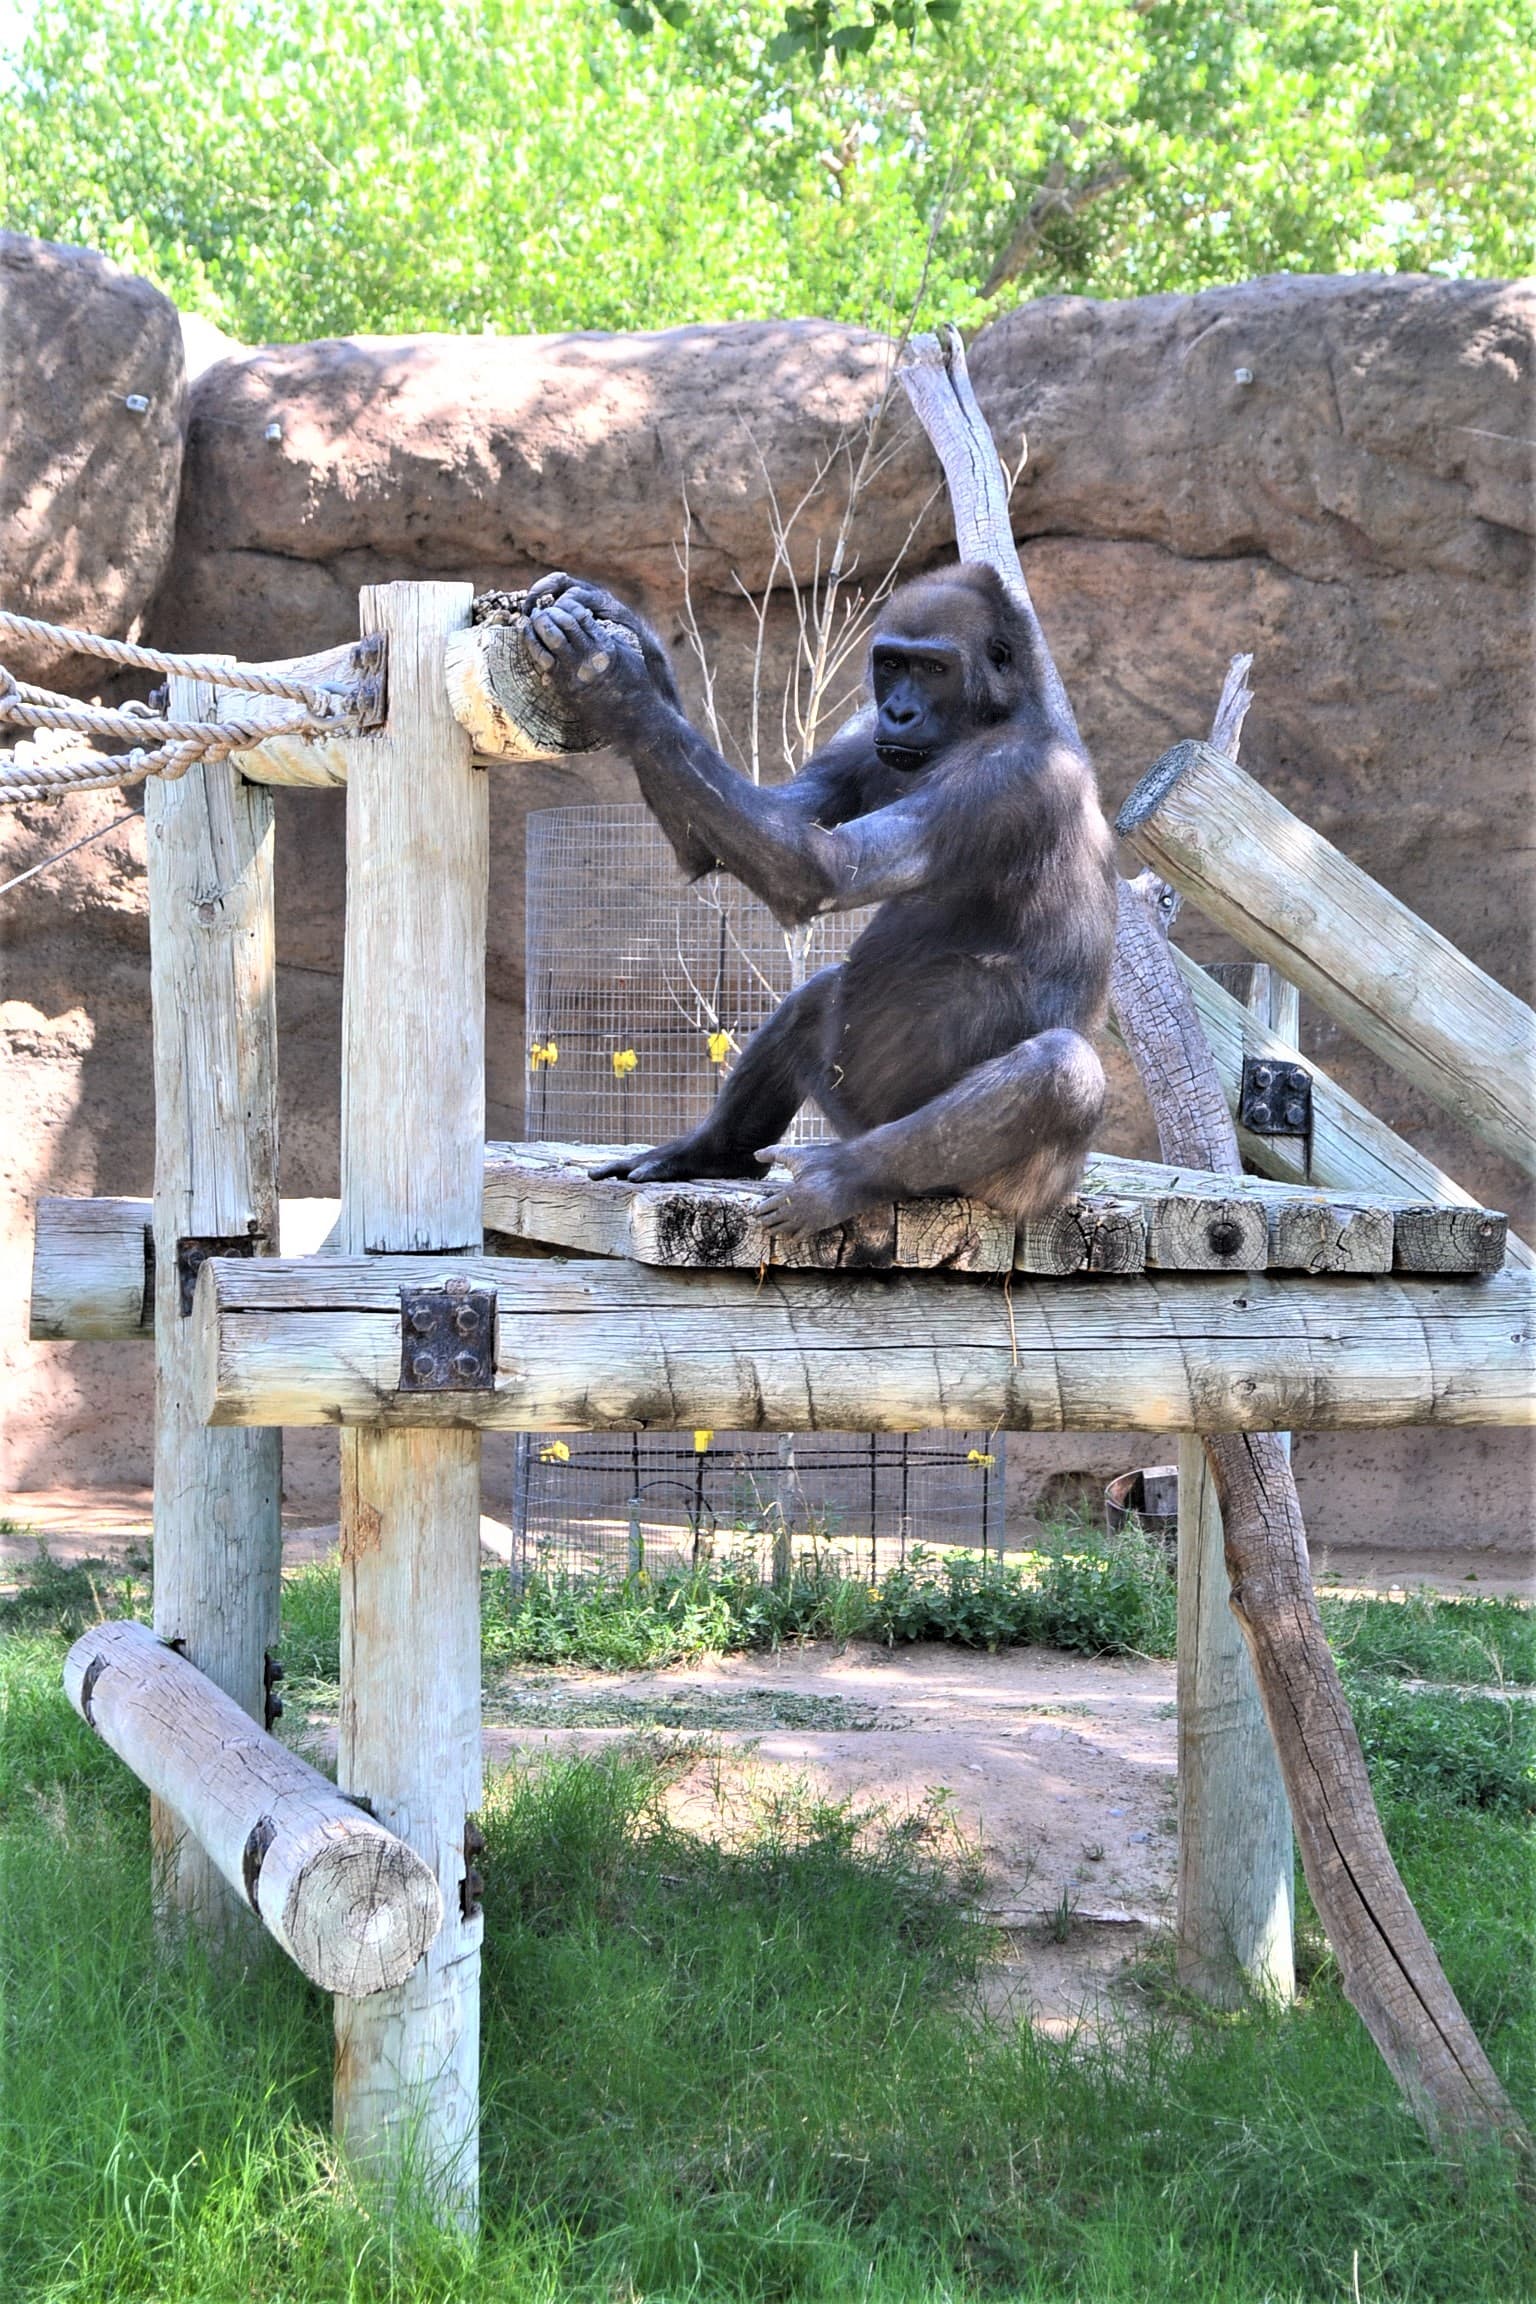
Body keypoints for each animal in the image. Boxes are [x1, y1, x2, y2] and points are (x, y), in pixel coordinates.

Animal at [520, 562, 1118, 1239]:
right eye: (892, 664)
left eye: (935, 668)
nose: (900, 711)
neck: (997, 714)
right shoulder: (862, 732)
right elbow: (756, 830)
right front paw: (619, 625)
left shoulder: (1011, 776)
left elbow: (821, 869)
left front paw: (611, 684)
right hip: (849, 1112)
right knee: (819, 995)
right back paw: (708, 1152)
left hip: (1014, 1189)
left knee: (1061, 1069)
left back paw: (842, 1179)